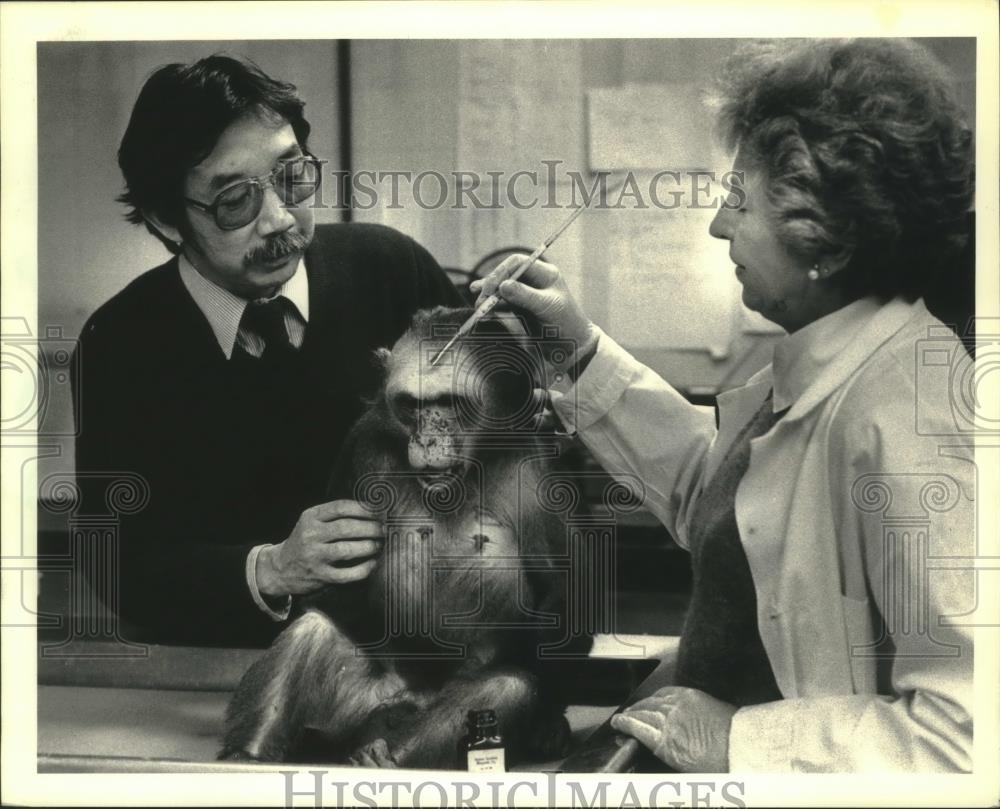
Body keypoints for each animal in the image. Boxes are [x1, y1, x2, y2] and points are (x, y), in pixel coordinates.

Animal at [221, 306, 592, 768]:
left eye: (449, 403)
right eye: (411, 405)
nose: (428, 438)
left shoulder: (543, 474)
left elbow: (565, 607)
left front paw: (549, 724)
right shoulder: (362, 448)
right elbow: (333, 591)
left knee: (507, 686)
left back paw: (387, 755)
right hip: (353, 708)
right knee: (311, 633)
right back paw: (248, 756)